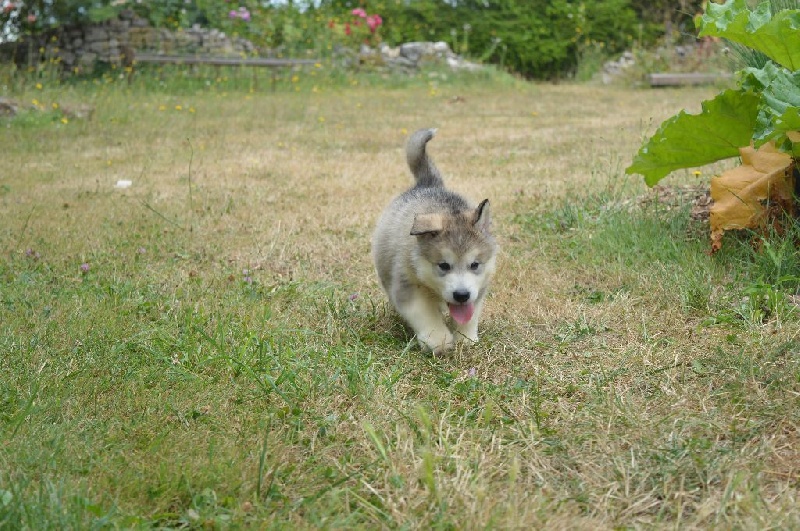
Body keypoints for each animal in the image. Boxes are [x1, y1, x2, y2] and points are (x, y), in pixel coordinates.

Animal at [372, 127, 496, 356]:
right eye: (443, 265)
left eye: (475, 264)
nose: (462, 295)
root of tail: (428, 184)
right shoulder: (407, 286)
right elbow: (424, 314)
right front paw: (438, 340)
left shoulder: (479, 289)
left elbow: (471, 314)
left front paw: (466, 339)